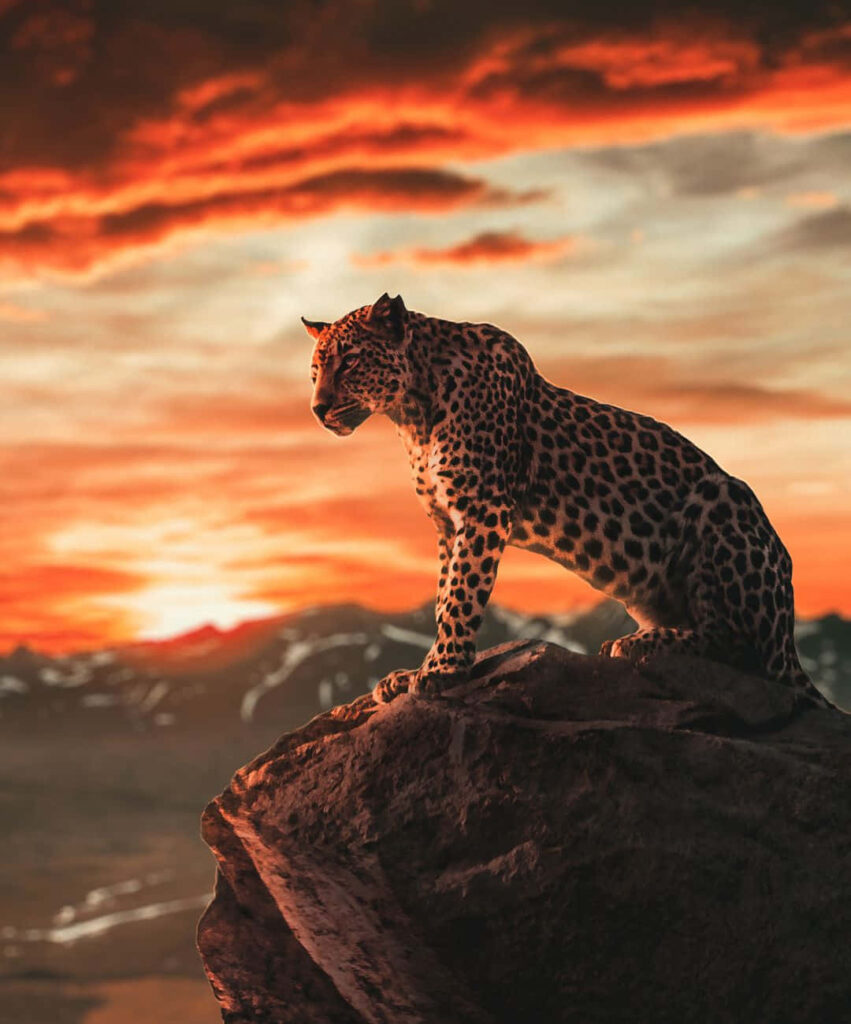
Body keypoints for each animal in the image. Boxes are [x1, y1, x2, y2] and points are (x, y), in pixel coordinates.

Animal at [303, 292, 828, 709]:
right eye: (315, 371)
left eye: (349, 361)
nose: (317, 409)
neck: (412, 413)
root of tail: (789, 636)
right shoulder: (446, 524)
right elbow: (442, 594)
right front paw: (418, 669)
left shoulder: (483, 509)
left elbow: (461, 595)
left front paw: (441, 670)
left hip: (724, 498)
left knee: (740, 648)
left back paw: (641, 644)